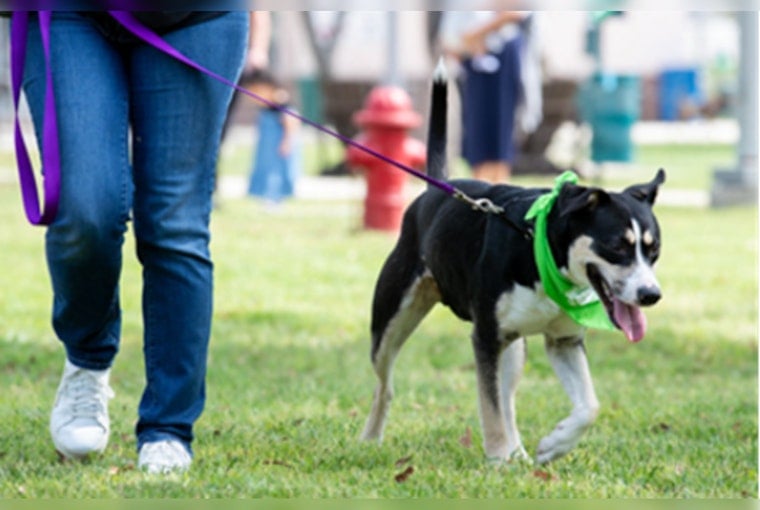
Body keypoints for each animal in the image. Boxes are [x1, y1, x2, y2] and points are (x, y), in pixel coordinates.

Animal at [360, 61, 664, 464]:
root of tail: (433, 190)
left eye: (654, 250)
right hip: (393, 319)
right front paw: (497, 458)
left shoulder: (563, 340)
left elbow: (589, 406)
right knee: (385, 383)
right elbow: (488, 406)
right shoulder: (486, 338)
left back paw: (518, 450)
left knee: (507, 399)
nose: (651, 295)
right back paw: (371, 437)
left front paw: (554, 444)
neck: (539, 248)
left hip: (513, 344)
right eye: (617, 246)